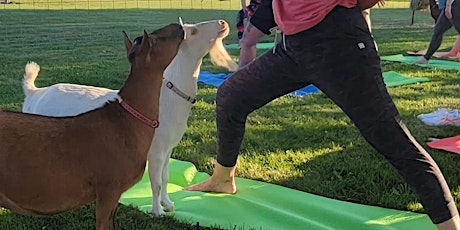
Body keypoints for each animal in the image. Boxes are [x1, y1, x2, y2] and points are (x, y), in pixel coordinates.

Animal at [21, 19, 237, 216]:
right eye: (192, 31)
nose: (222, 23)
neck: (166, 97)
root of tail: (34, 93)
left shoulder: (168, 149)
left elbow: (165, 177)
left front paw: (168, 204)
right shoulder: (155, 152)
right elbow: (156, 182)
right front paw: (157, 211)